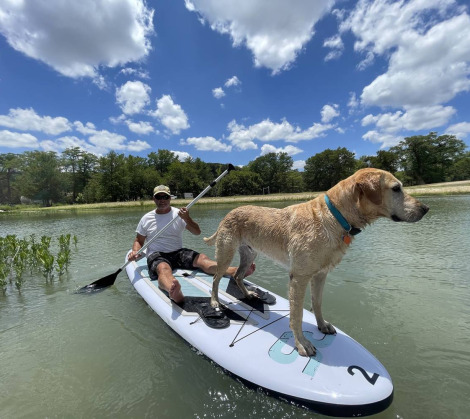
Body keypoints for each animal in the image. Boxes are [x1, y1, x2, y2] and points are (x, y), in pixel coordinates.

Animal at [205, 170, 430, 358]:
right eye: (396, 188)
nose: (426, 208)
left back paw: (249, 294)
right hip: (225, 253)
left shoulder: (321, 274)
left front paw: (322, 326)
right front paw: (301, 343)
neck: (334, 218)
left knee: (237, 275)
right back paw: (215, 302)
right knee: (216, 278)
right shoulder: (299, 278)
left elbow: (317, 303)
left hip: (249, 255)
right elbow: (296, 315)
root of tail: (228, 213)